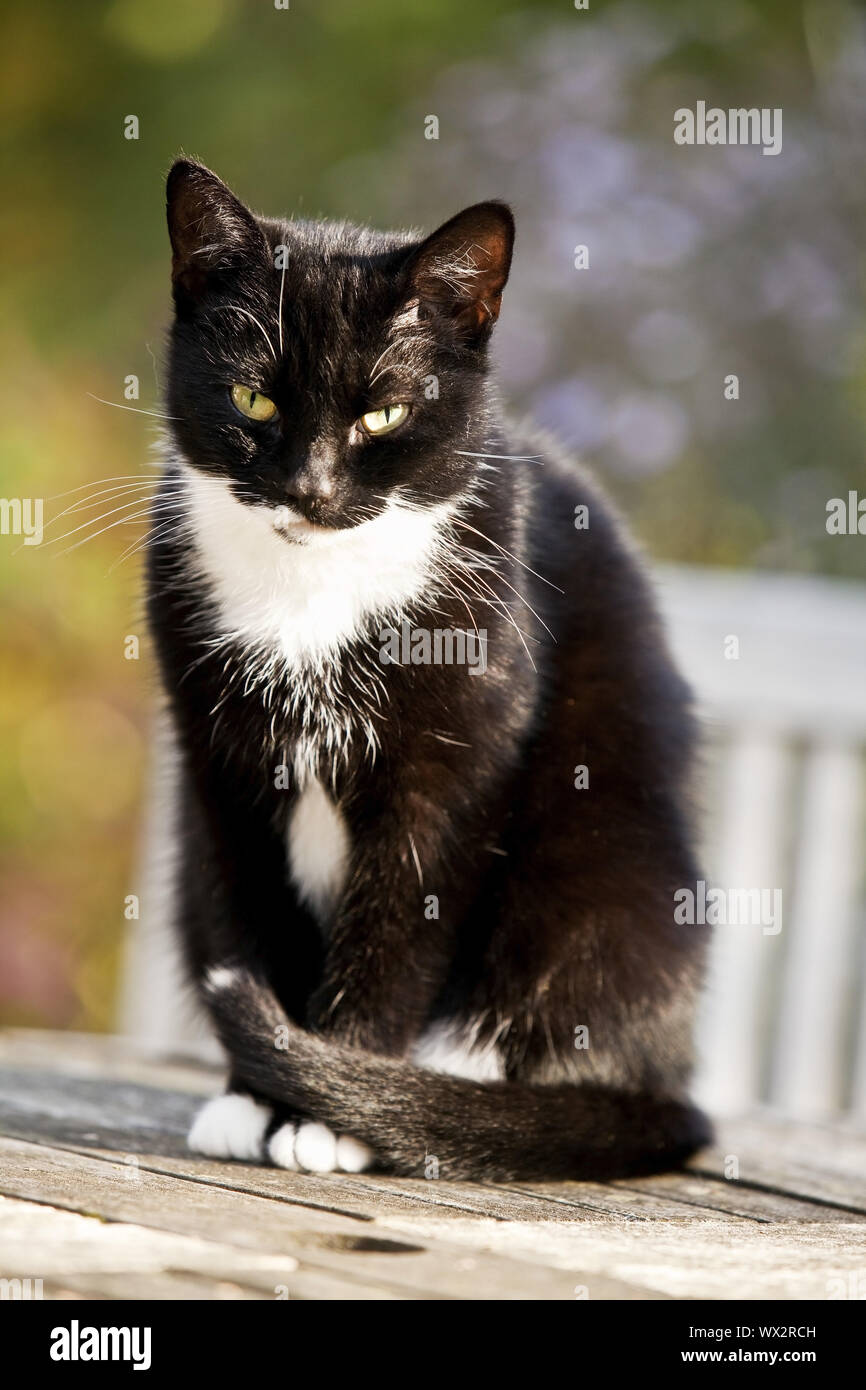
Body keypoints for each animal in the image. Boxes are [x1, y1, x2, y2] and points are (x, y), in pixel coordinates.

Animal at [147, 159, 711, 1184]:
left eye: (385, 413)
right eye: (253, 402)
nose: (311, 491)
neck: (313, 593)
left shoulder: (454, 764)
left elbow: (401, 923)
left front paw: (334, 1111)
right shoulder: (220, 765)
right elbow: (253, 915)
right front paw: (262, 1097)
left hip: (609, 866)